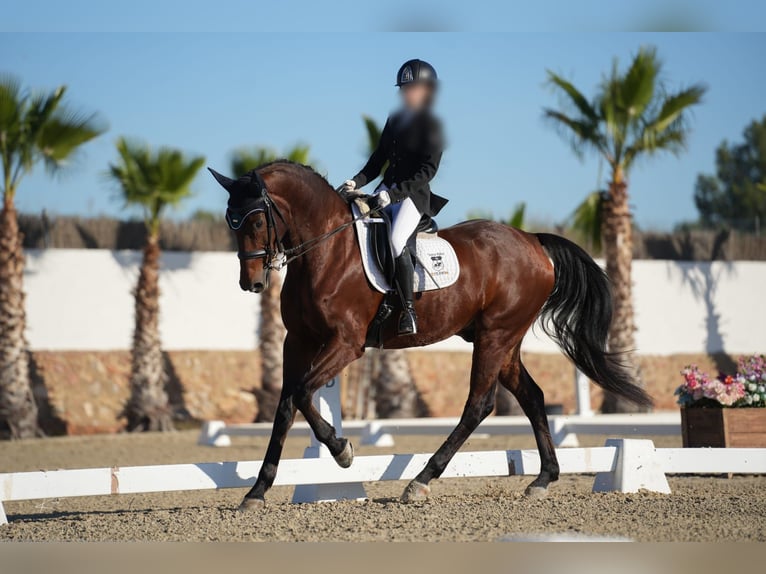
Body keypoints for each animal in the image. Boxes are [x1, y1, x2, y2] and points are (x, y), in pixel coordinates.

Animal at [210, 159, 656, 512]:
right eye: (231, 222)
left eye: (255, 219)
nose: (251, 283)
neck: (326, 251)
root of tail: (533, 241)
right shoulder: (298, 342)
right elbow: (286, 405)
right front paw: (257, 490)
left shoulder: (346, 344)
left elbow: (302, 393)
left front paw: (342, 452)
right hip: (504, 340)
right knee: (532, 396)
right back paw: (543, 479)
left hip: (495, 335)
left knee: (479, 404)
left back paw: (421, 481)